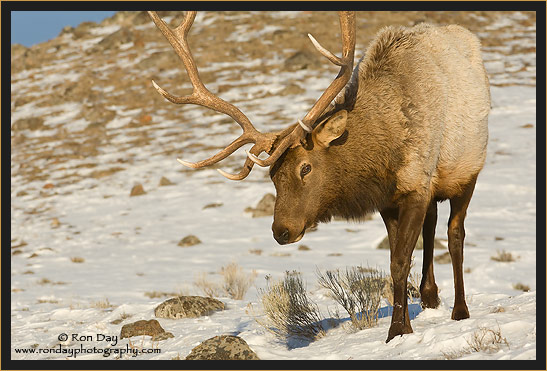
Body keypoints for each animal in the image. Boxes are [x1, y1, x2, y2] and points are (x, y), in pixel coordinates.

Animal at [148, 10, 490, 342]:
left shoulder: (416, 185)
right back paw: (430, 296)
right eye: (272, 175)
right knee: (432, 225)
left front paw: (397, 332)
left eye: (306, 167)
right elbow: (398, 259)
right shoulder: (390, 200)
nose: (281, 230)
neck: (385, 150)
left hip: (468, 170)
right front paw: (404, 325)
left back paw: (460, 310)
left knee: (455, 233)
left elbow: (399, 262)